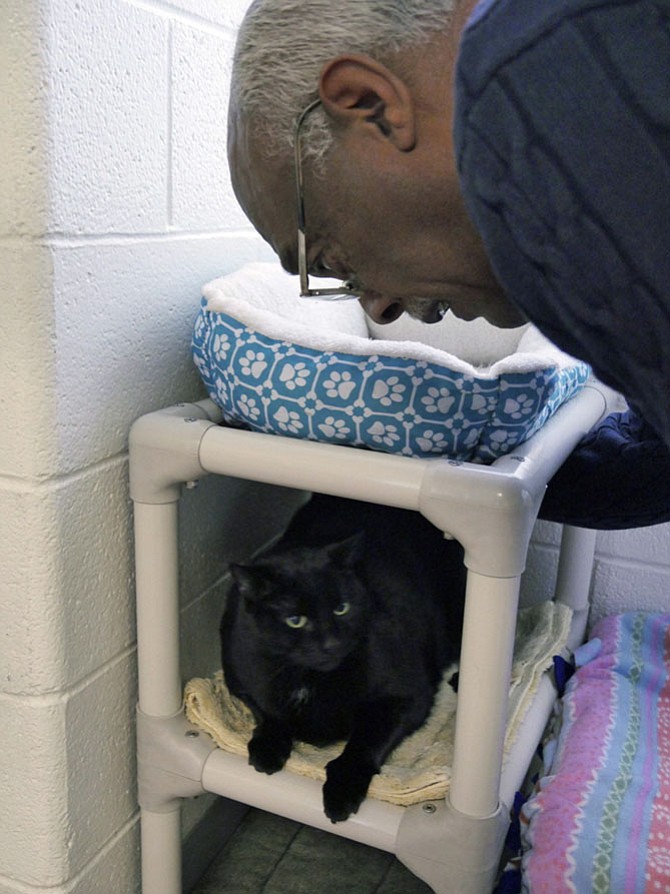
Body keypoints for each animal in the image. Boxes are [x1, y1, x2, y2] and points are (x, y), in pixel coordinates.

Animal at [220, 494, 468, 824]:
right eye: (295, 620)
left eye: (341, 608)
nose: (331, 643)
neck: (308, 678)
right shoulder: (241, 677)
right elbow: (268, 713)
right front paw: (267, 749)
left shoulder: (408, 695)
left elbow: (363, 743)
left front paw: (342, 791)